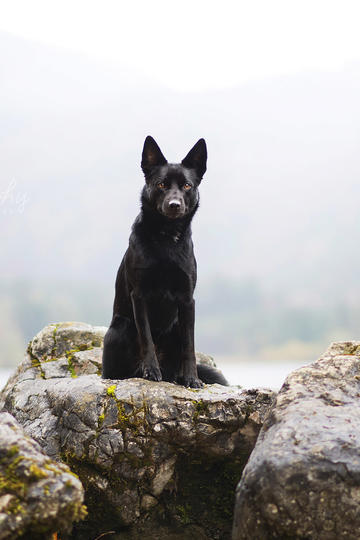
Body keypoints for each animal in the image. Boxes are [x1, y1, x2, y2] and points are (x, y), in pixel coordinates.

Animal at [101, 137, 226, 386]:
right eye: (161, 185)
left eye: (187, 186)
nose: (174, 204)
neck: (166, 239)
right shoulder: (139, 295)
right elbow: (147, 338)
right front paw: (151, 370)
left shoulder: (187, 300)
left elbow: (190, 345)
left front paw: (191, 378)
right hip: (121, 328)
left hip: (175, 326)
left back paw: (178, 376)